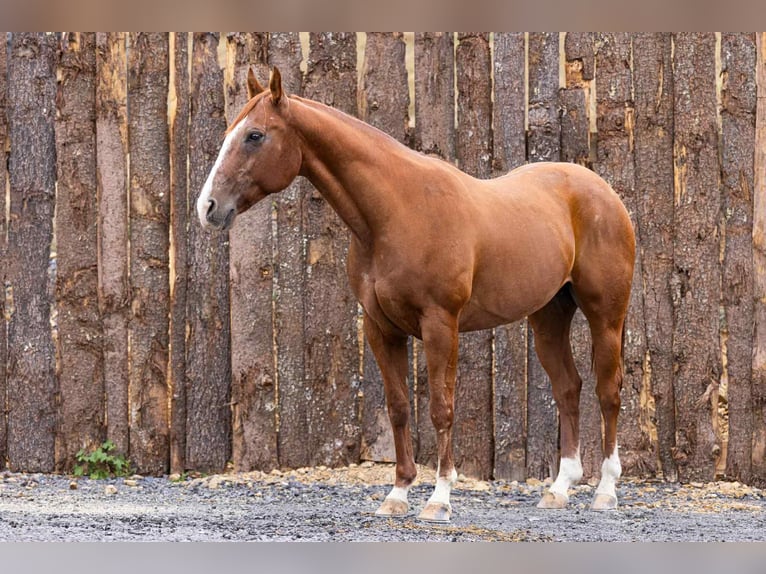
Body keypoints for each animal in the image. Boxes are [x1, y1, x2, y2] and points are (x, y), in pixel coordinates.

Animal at [197, 67, 635, 523]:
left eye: (255, 135)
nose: (208, 207)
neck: (397, 211)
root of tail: (602, 190)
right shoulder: (381, 328)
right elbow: (399, 407)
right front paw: (398, 493)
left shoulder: (440, 324)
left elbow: (441, 408)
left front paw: (439, 498)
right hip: (549, 316)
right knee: (568, 387)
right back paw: (560, 488)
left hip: (606, 316)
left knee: (608, 391)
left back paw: (606, 490)